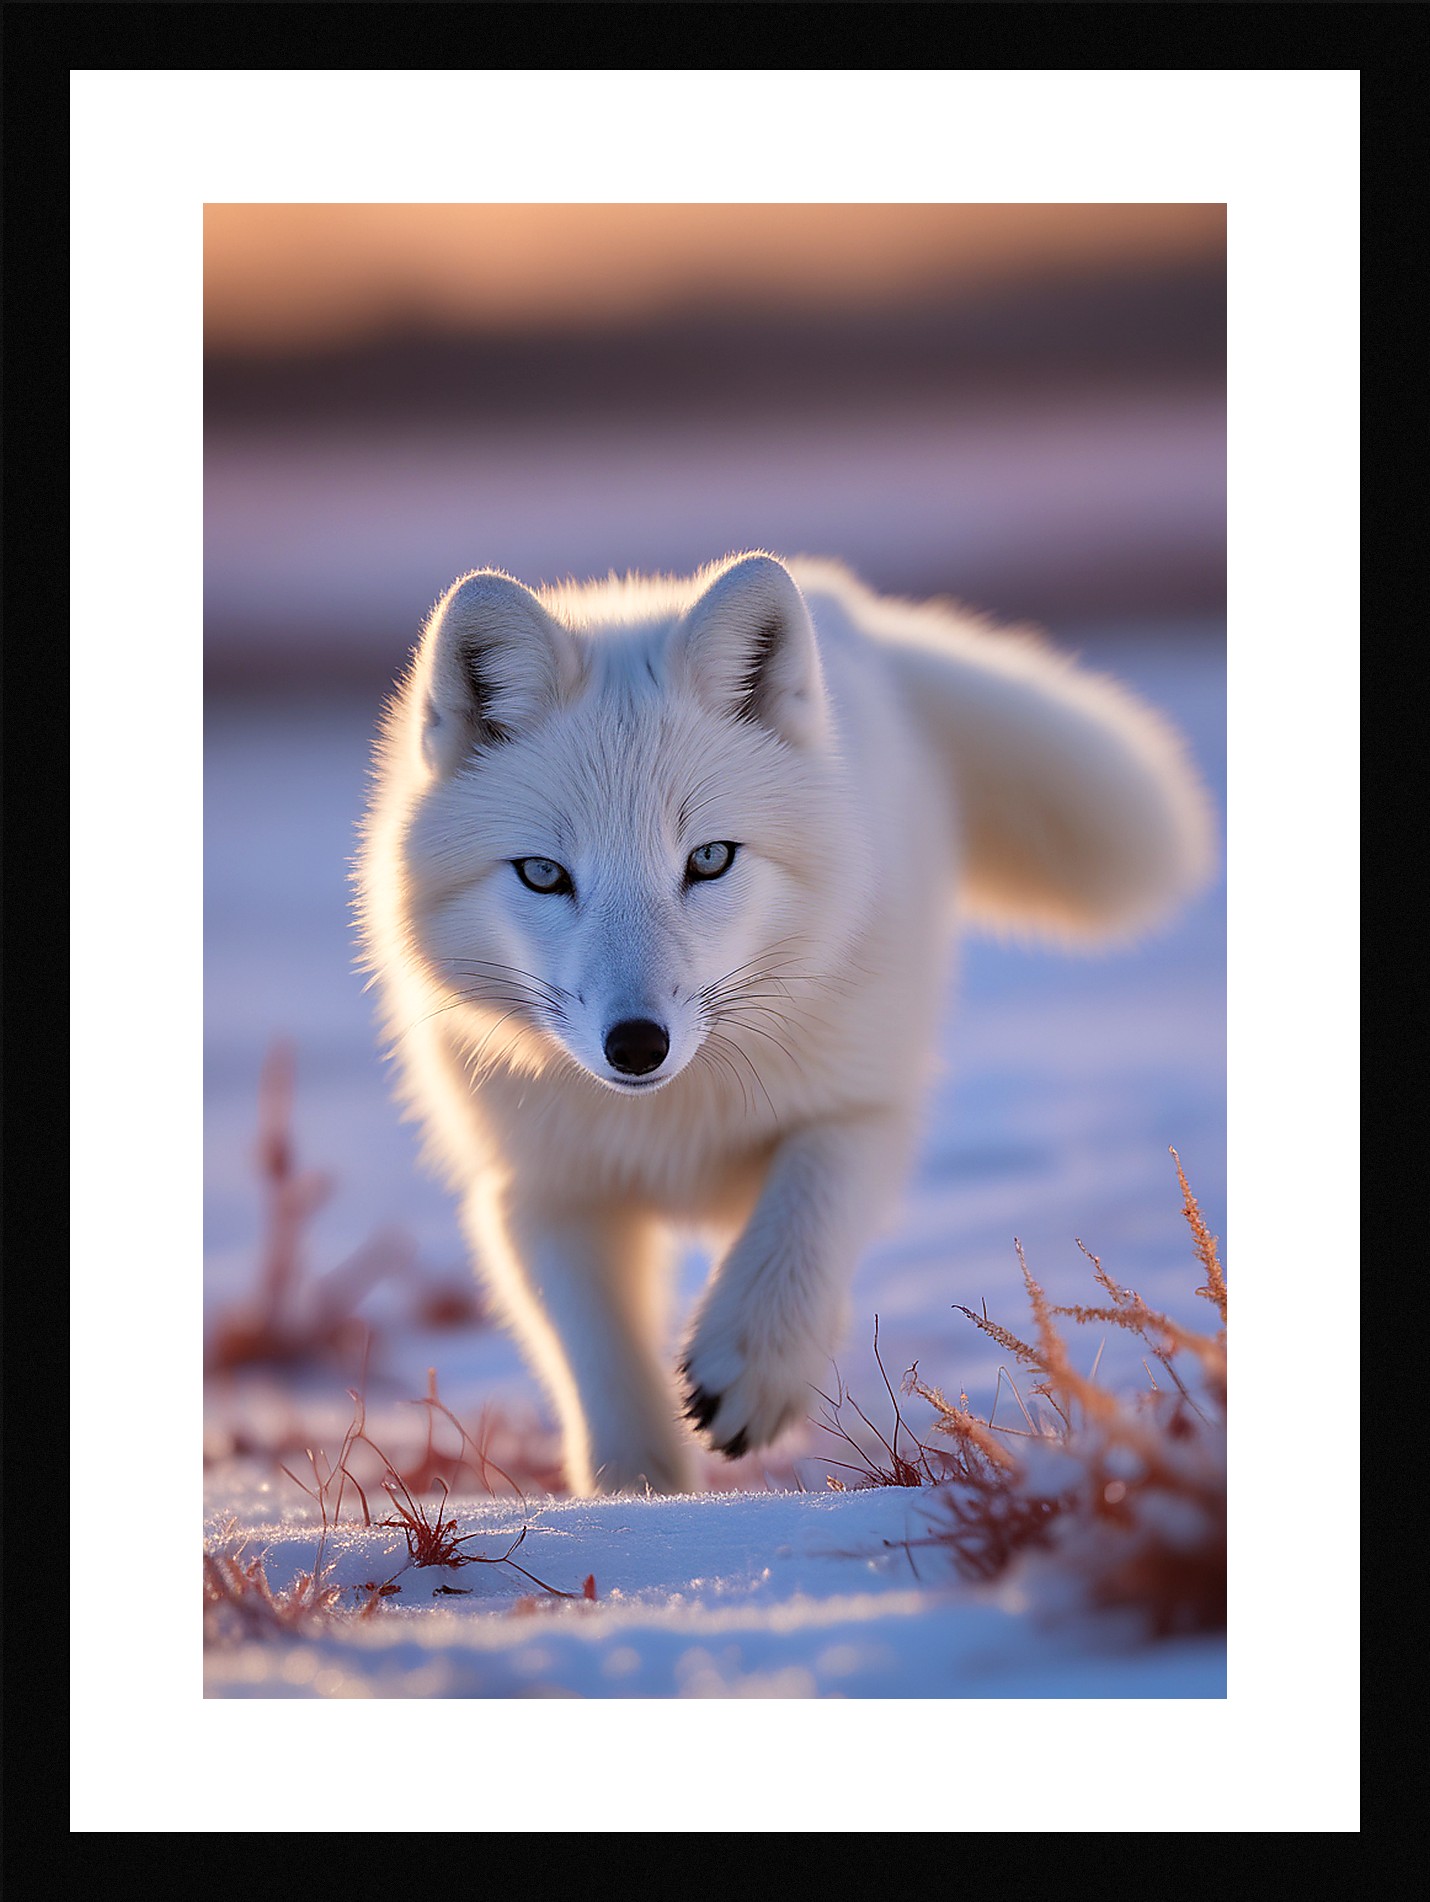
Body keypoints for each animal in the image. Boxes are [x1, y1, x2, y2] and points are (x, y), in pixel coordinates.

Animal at [355, 552, 1213, 1495]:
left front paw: (756, 1367)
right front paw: (638, 1504)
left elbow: (804, 1217)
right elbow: (603, 1368)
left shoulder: (863, 1107)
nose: (637, 1045)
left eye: (709, 859)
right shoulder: (540, 1189)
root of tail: (842, 598)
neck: (674, 1121)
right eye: (543, 874)